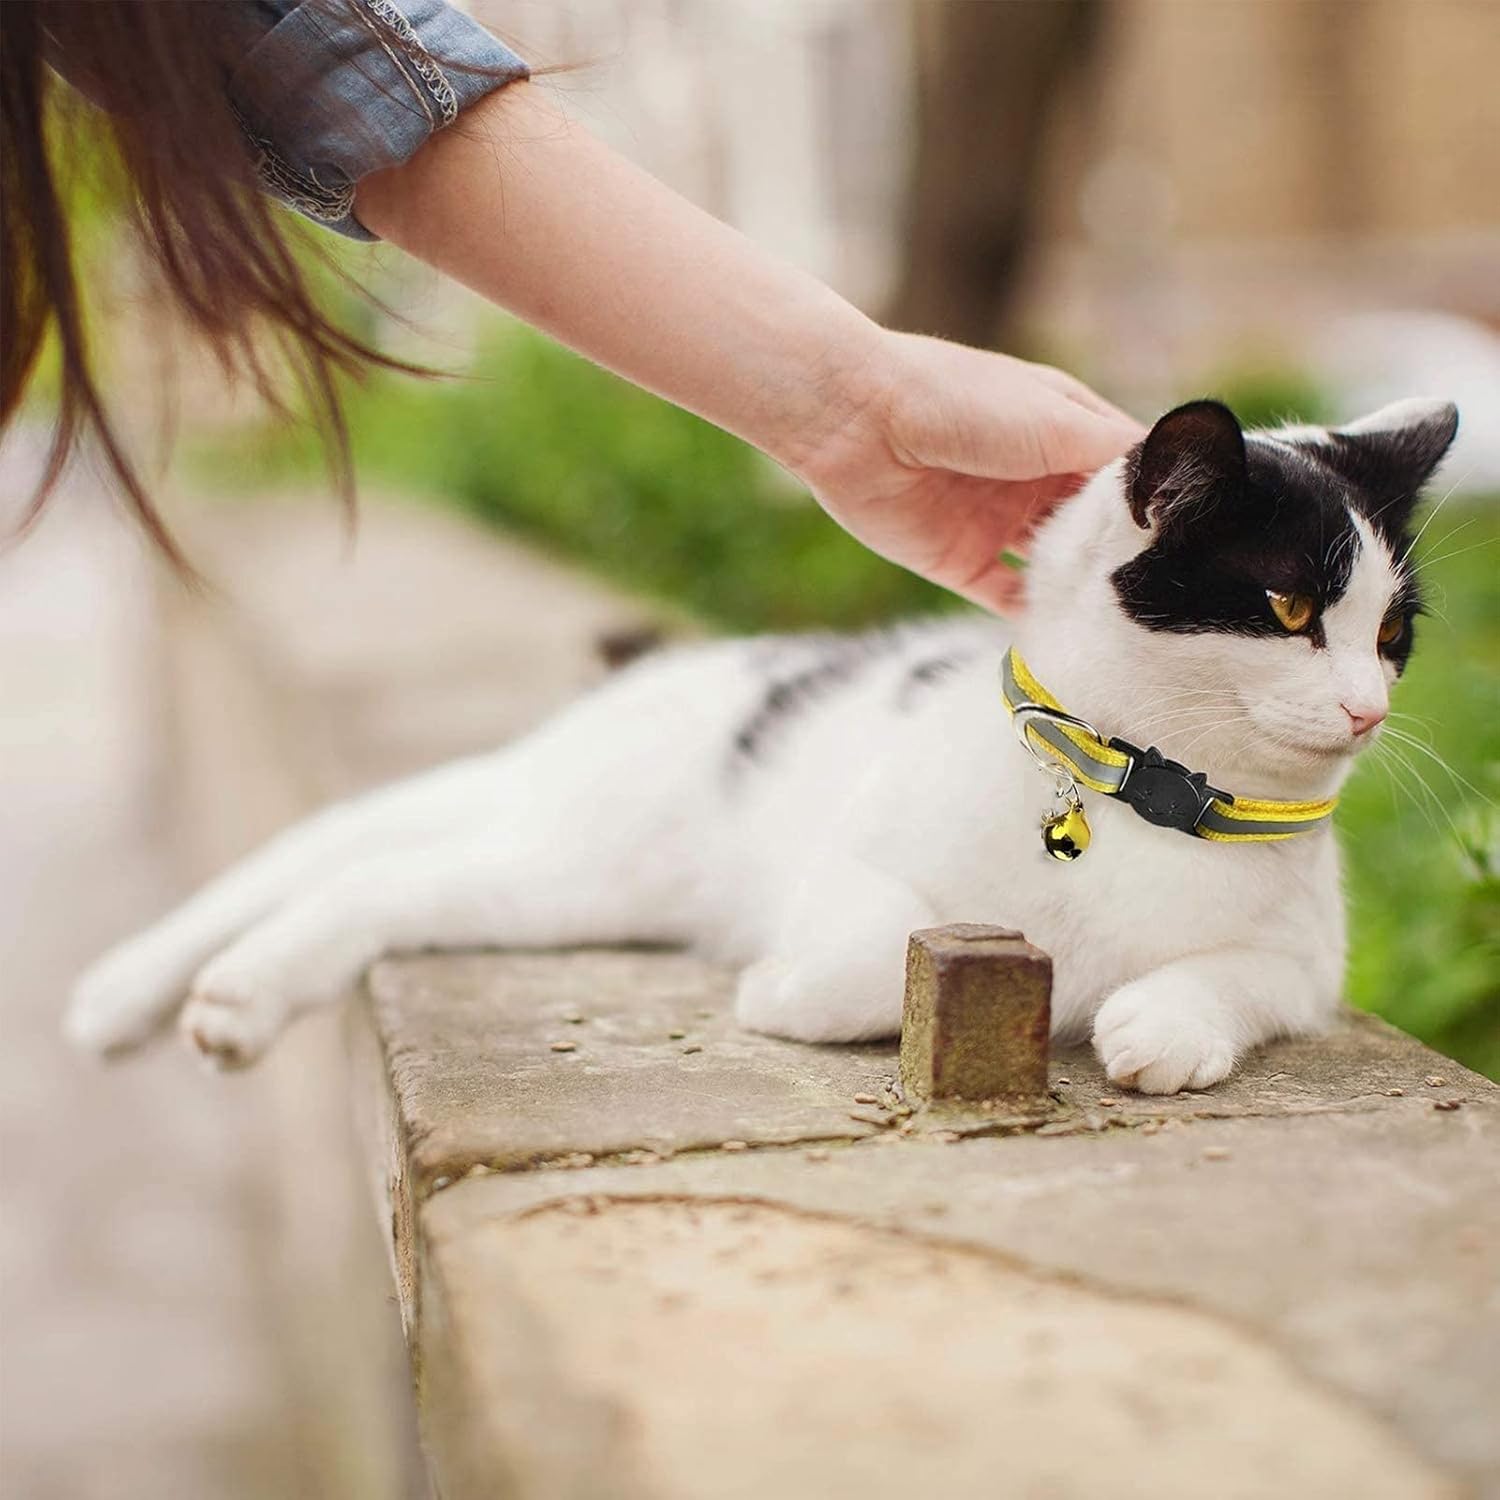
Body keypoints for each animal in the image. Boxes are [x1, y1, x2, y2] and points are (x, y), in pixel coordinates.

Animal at [64, 399, 1458, 1098]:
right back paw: (216, 994)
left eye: (1391, 633)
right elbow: (869, 941)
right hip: (586, 854)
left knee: (383, 878)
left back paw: (210, 997)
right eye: (1288, 608)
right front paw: (781, 994)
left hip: (565, 882)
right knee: (360, 871)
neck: (1139, 796)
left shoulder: (1304, 966)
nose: (1364, 710)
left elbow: (1231, 982)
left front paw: (1157, 1024)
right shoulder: (851, 862)